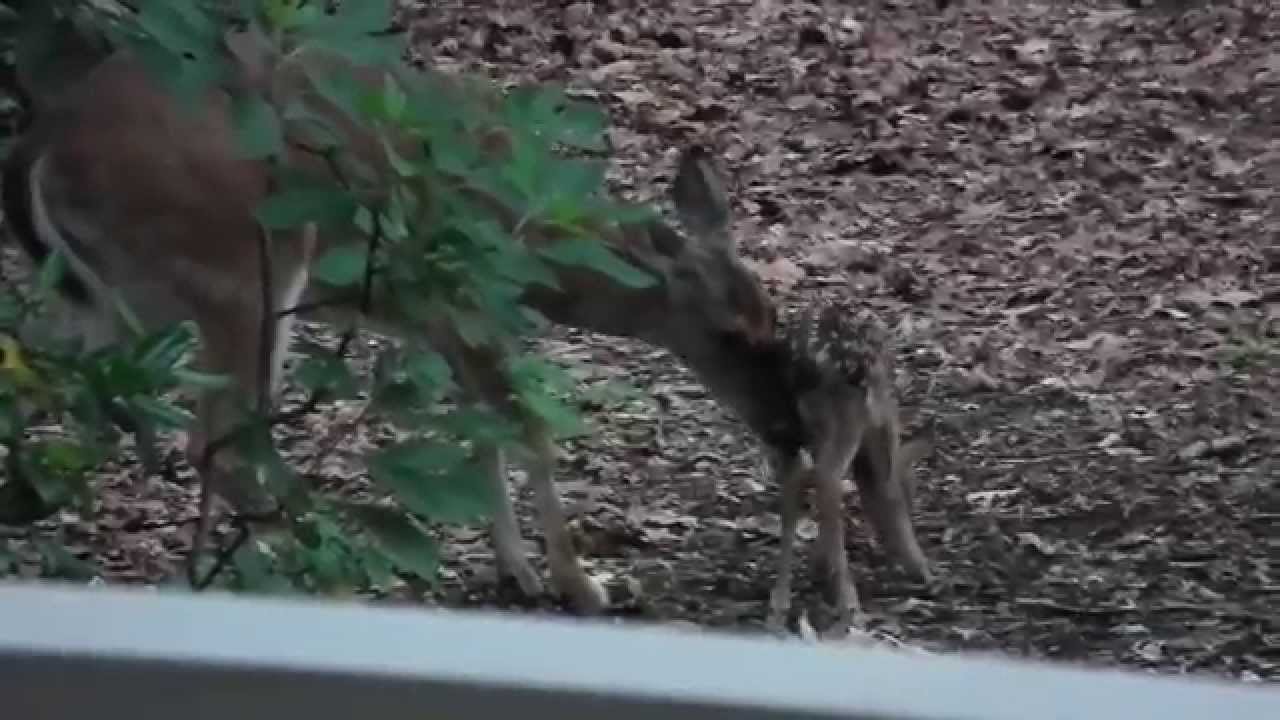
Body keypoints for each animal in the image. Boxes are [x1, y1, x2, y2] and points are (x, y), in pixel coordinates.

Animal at [2, 24, 932, 624]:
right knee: (216, 437)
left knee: (68, 386)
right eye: (735, 334)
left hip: (110, 297)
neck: (541, 245)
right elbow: (527, 426)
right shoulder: (471, 303)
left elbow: (478, 427)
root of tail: (43, 145)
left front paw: (518, 571)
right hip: (240, 267)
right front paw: (584, 585)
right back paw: (310, 563)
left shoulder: (437, 321)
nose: (785, 428)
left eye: (777, 323)